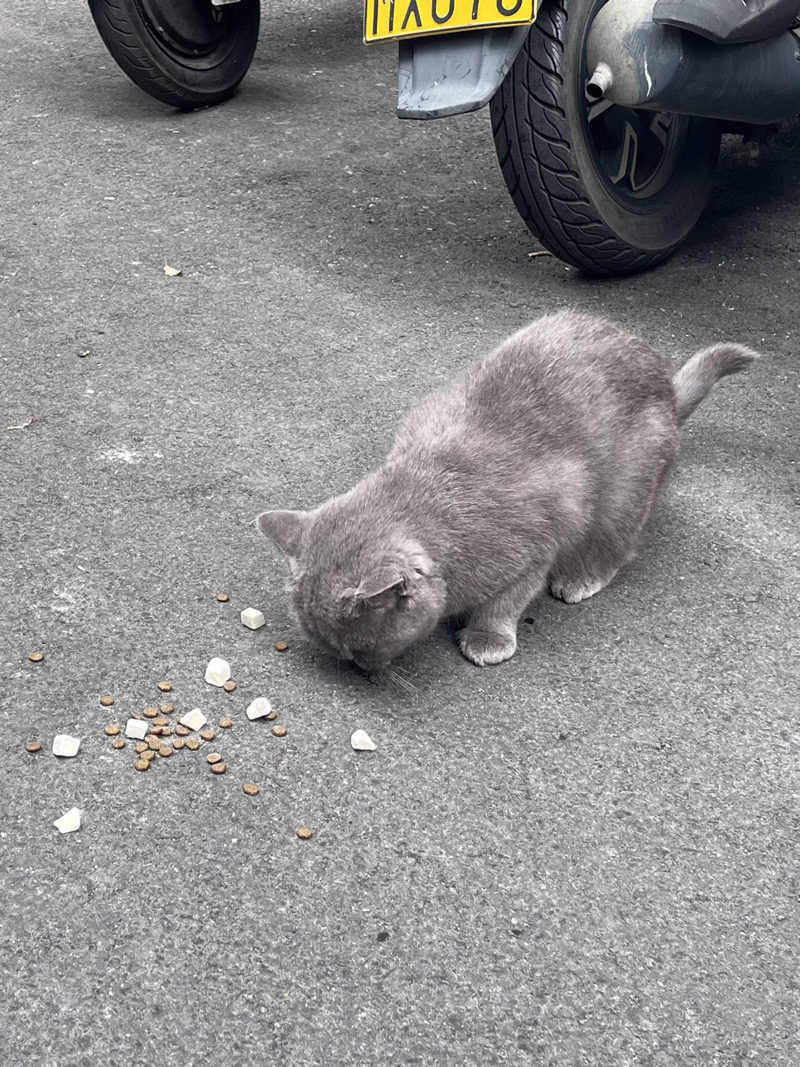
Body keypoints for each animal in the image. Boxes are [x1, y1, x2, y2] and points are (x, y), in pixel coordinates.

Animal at [257, 311, 759, 670]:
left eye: (359, 648)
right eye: (342, 651)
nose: (358, 669)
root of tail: (668, 386)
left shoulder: (533, 552)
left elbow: (506, 601)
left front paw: (487, 639)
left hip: (627, 485)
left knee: (619, 542)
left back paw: (582, 577)